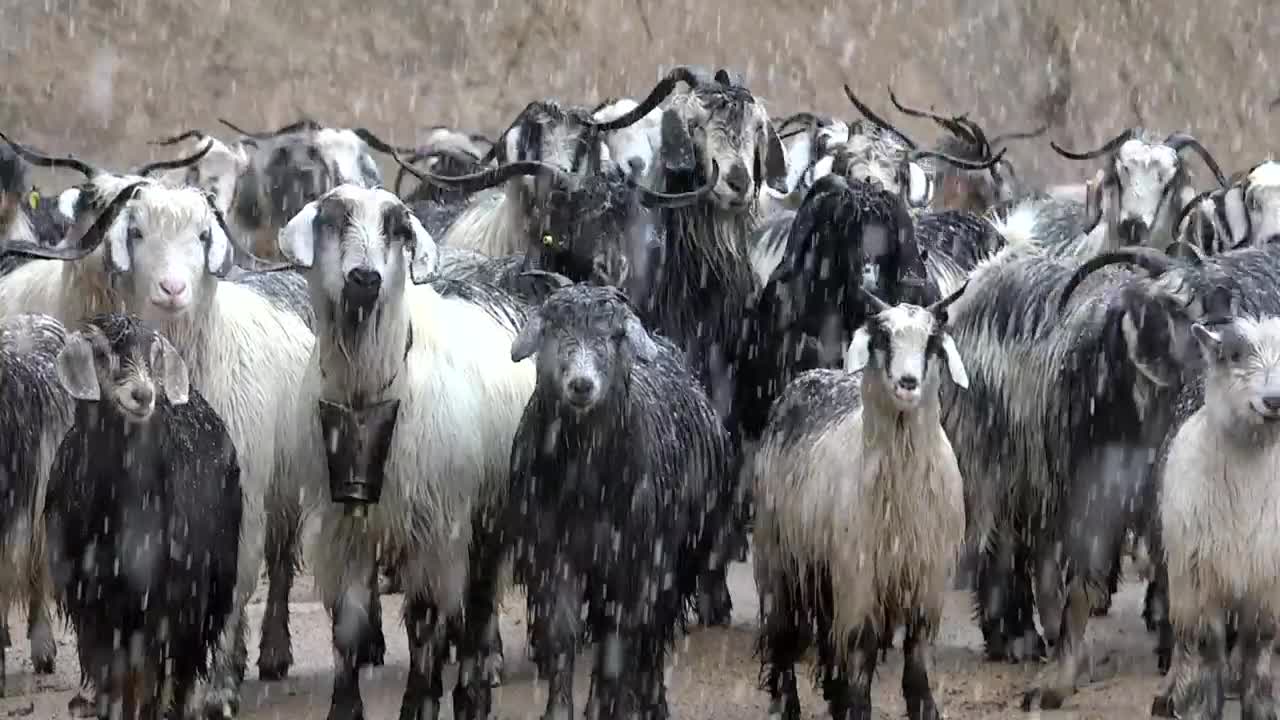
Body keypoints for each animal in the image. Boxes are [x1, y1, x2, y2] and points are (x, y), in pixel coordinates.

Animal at [44, 313, 241, 720]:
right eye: (101, 354)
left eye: (154, 356)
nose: (143, 395)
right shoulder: (93, 604)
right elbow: (113, 678)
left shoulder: (169, 601)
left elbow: (152, 678)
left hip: (206, 592)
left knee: (180, 670)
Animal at [274, 183, 535, 720]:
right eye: (332, 221)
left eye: (397, 229)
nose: (364, 278)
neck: (367, 390)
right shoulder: (341, 525)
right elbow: (348, 623)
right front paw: (345, 708)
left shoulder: (435, 524)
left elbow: (424, 619)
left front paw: (418, 704)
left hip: (490, 513)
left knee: (477, 602)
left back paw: (473, 690)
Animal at [507, 280, 734, 720]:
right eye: (554, 330)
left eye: (613, 336)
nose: (581, 385)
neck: (583, 482)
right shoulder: (553, 556)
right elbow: (562, 634)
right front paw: (561, 710)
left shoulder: (637, 562)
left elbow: (620, 639)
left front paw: (609, 707)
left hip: (674, 562)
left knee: (651, 637)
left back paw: (651, 702)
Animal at [753, 285, 968, 720]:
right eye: (882, 338)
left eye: (932, 342)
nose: (907, 382)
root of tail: (810, 376)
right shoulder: (860, 581)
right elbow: (860, 656)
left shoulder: (929, 583)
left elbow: (917, 662)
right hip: (778, 557)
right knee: (783, 634)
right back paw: (786, 704)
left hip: (823, 570)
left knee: (826, 637)